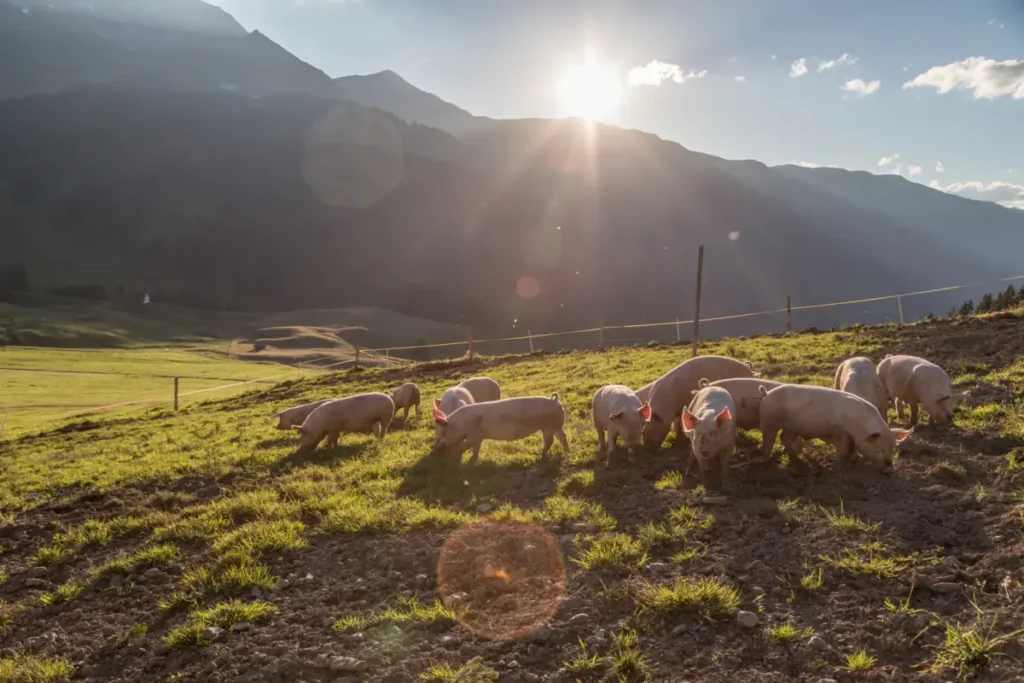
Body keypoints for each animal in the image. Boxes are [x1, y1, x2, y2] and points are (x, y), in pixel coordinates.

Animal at [432, 395, 569, 464]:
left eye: (441, 433)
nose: (434, 449)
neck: (460, 424)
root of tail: (555, 400)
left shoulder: (473, 435)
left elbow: (465, 445)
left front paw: (455, 454)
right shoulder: (479, 438)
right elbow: (476, 449)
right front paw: (473, 459)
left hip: (548, 426)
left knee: (550, 440)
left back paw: (542, 456)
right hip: (556, 426)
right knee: (562, 436)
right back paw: (567, 452)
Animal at [753, 382, 913, 473]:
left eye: (893, 447)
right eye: (879, 447)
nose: (890, 468)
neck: (859, 427)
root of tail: (766, 393)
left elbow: (849, 450)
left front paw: (852, 461)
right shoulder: (840, 433)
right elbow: (842, 451)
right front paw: (842, 468)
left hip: (791, 427)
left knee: (784, 438)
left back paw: (798, 462)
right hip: (769, 420)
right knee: (769, 441)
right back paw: (767, 464)